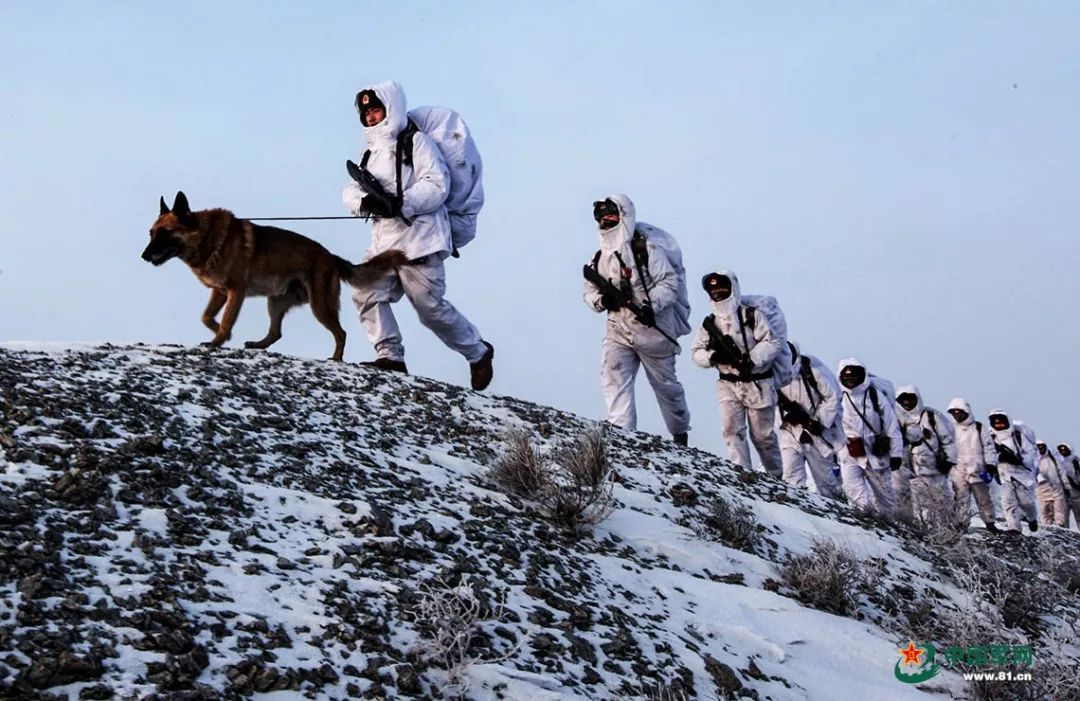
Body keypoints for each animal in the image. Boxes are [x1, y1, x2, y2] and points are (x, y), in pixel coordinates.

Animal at [143, 191, 406, 360]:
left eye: (165, 233)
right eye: (151, 233)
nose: (144, 256)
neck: (207, 237)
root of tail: (330, 256)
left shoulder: (235, 292)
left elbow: (226, 319)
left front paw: (219, 339)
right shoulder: (219, 292)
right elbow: (206, 317)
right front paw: (219, 334)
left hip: (320, 305)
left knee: (341, 333)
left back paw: (336, 358)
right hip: (275, 302)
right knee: (275, 333)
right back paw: (258, 344)